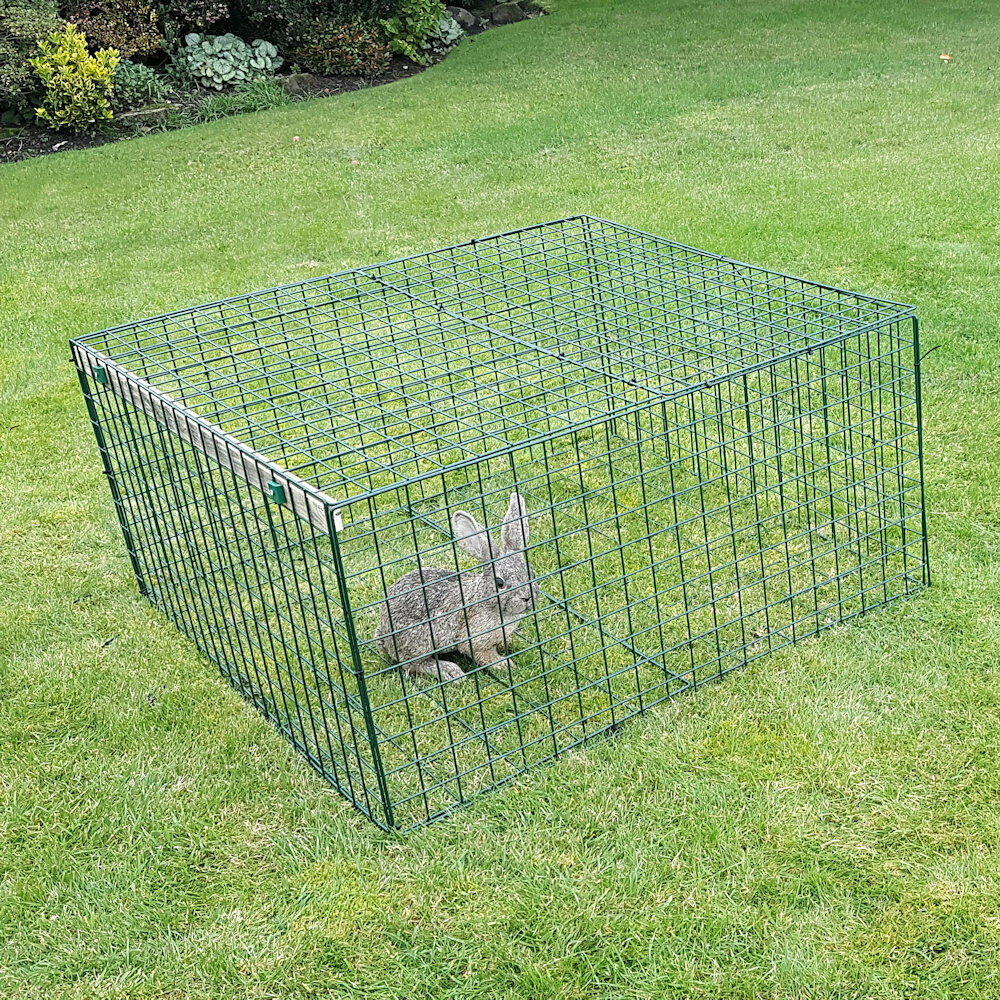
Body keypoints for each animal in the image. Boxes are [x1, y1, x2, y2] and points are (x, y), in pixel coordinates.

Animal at [374, 493, 538, 682]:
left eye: (532, 574)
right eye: (500, 583)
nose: (526, 597)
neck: (485, 598)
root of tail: (384, 632)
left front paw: (508, 645)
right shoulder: (475, 640)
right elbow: (484, 655)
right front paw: (505, 665)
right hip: (419, 641)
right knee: (412, 664)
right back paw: (451, 672)